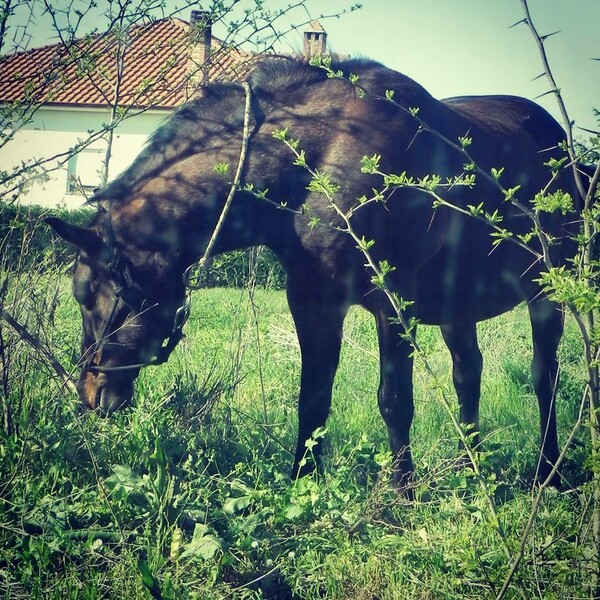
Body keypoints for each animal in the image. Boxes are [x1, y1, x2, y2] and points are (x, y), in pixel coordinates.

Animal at [47, 56, 580, 490]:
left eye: (90, 297)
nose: (89, 394)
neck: (321, 160)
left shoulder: (393, 303)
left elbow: (395, 399)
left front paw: (400, 495)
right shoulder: (313, 302)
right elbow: (313, 397)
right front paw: (302, 482)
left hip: (549, 291)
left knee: (544, 375)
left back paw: (548, 473)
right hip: (457, 307)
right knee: (468, 374)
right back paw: (473, 469)